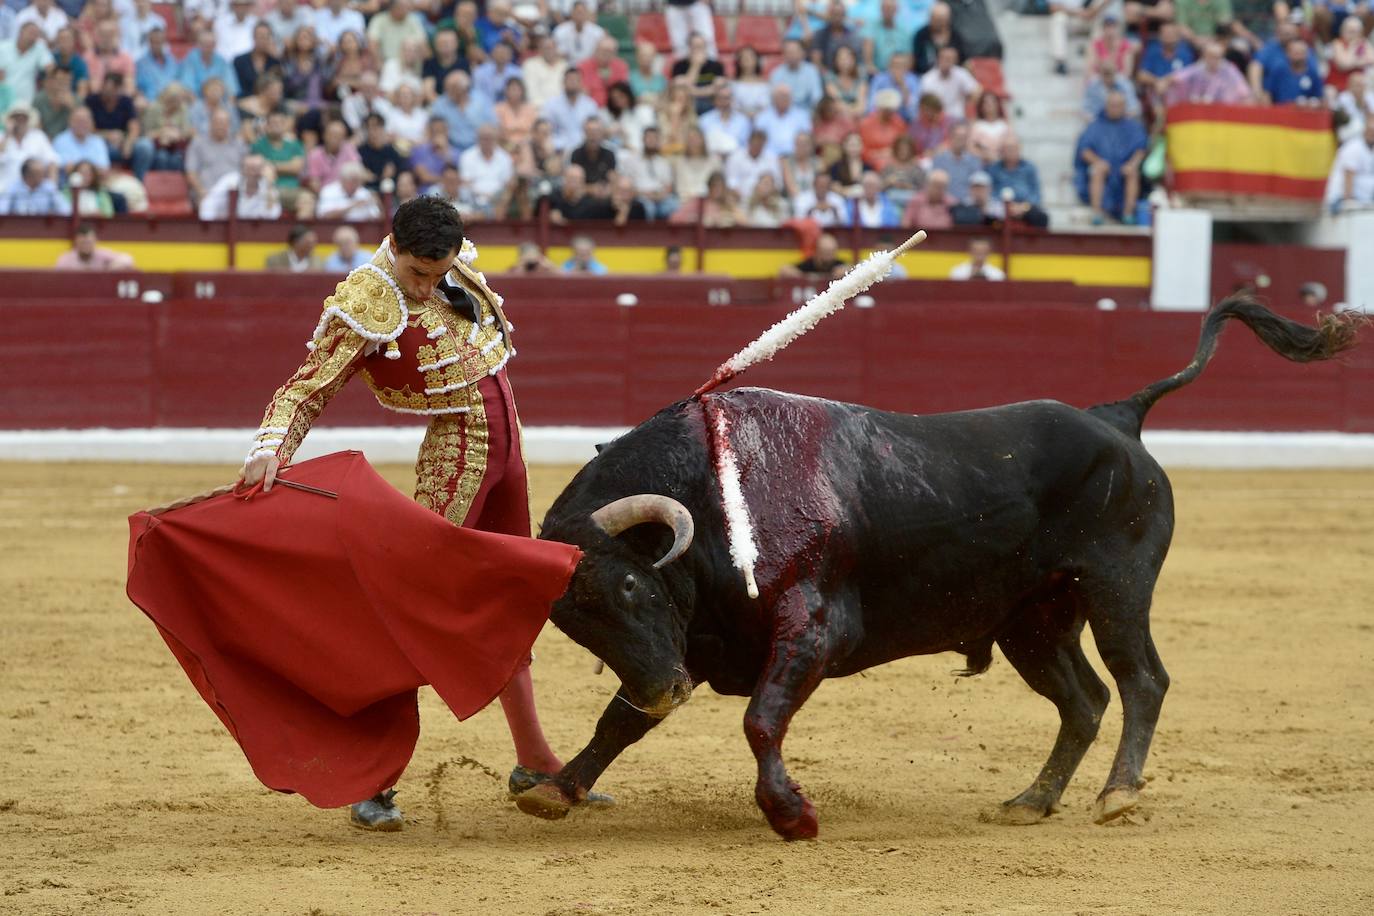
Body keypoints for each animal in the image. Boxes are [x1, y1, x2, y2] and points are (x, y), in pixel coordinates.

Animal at [516, 298, 1363, 840]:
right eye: (570, 622)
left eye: (631, 583)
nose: (668, 690)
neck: (717, 491)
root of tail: (1117, 418)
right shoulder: (692, 639)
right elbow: (620, 719)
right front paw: (558, 789)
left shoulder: (812, 629)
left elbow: (760, 718)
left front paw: (794, 816)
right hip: (1033, 621)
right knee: (1084, 699)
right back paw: (1031, 801)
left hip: (1118, 588)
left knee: (1140, 680)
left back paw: (1118, 795)